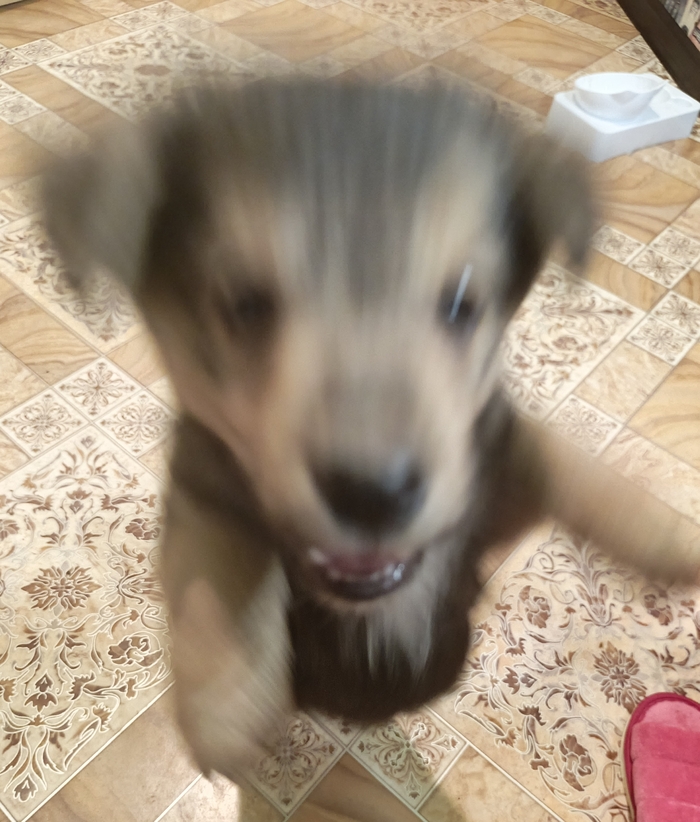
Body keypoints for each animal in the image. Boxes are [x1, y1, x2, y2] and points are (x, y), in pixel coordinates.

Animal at [41, 77, 700, 784]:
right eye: (243, 304)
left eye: (462, 303)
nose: (372, 494)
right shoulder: (201, 474)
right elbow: (220, 564)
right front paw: (226, 701)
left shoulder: (492, 454)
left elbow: (572, 466)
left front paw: (670, 535)